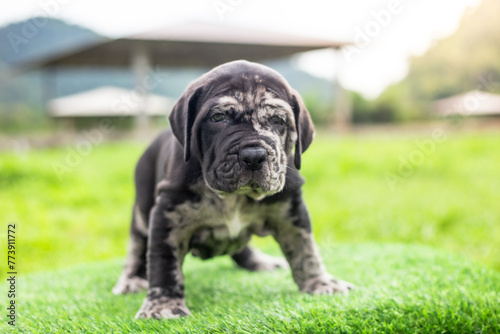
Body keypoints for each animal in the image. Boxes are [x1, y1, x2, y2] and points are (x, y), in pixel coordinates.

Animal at [112, 60, 352, 318]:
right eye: (218, 117)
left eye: (278, 120)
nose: (254, 155)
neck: (235, 197)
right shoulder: (168, 214)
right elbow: (163, 262)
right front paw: (163, 305)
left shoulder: (291, 210)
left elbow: (305, 249)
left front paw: (320, 283)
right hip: (142, 209)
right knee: (137, 246)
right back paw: (131, 279)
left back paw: (259, 262)